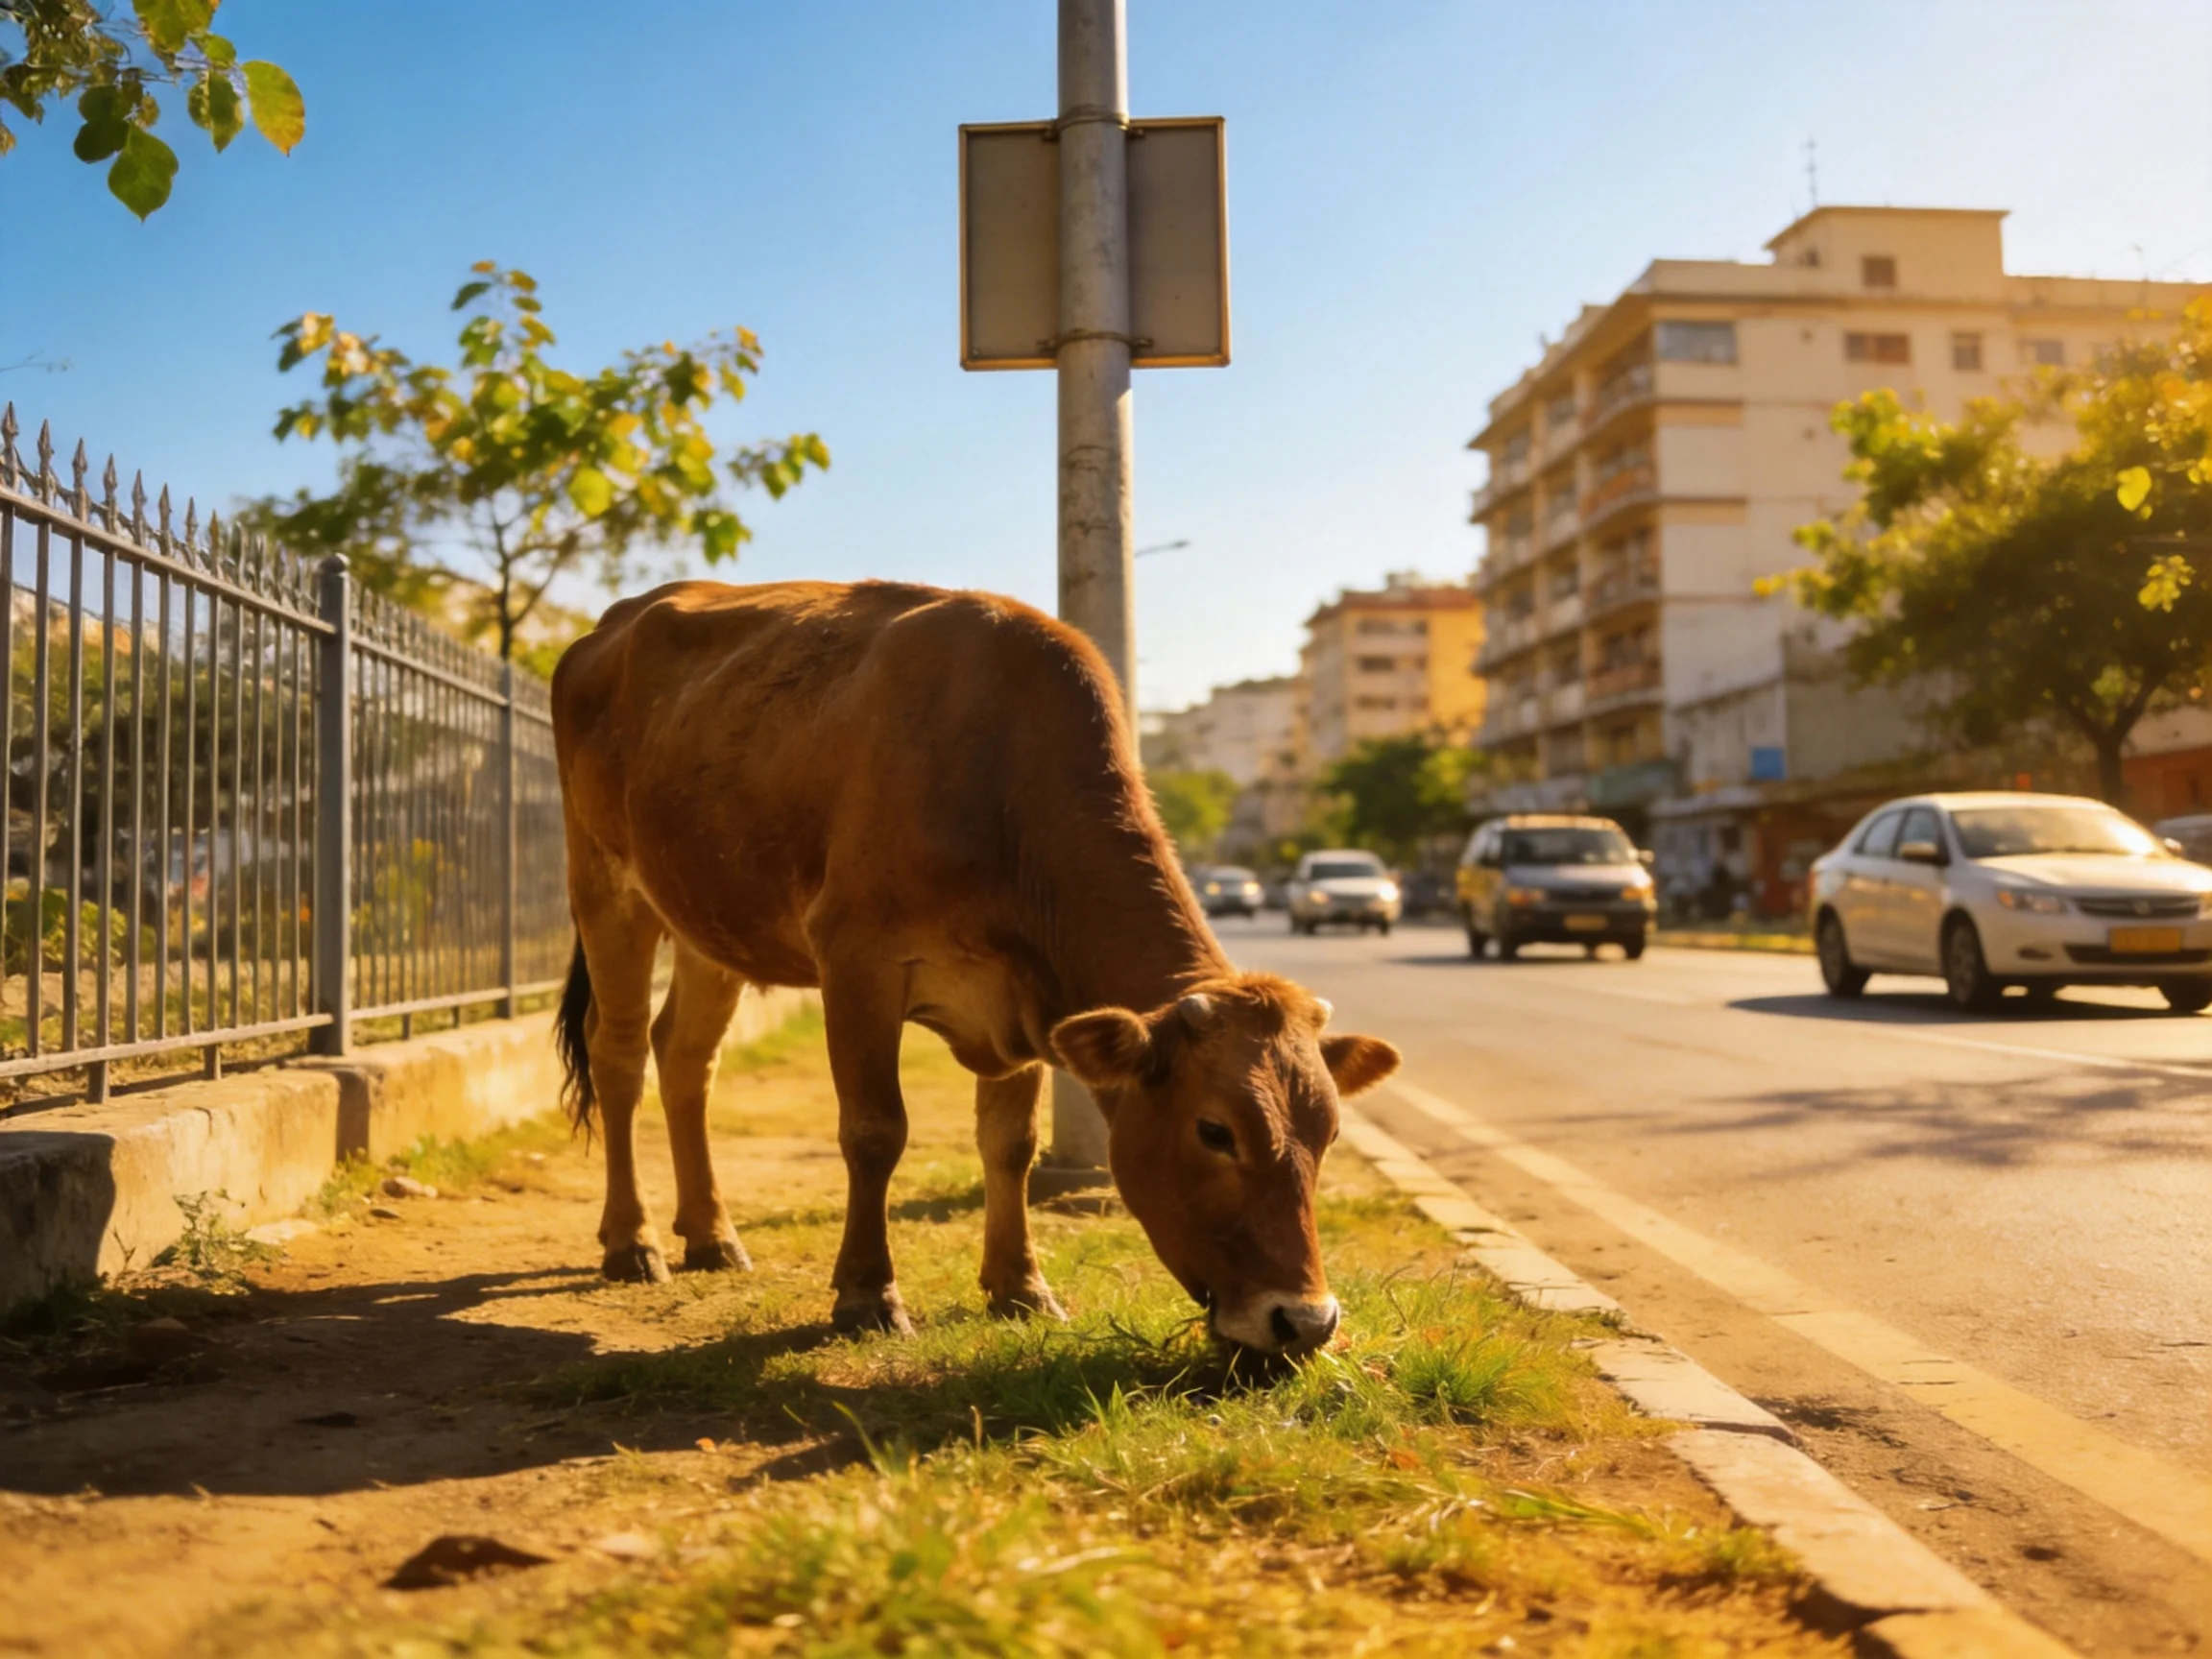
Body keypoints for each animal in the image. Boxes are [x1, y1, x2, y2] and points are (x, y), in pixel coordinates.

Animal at [549, 579, 1400, 1355]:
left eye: (1326, 1132)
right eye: (1214, 1130)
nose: (1305, 1321)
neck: (998, 781)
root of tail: (617, 620)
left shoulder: (1026, 1000)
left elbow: (1010, 1144)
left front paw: (1020, 1286)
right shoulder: (856, 958)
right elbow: (874, 1131)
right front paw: (867, 1295)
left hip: (707, 920)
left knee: (686, 1056)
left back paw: (710, 1233)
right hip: (605, 885)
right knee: (618, 1052)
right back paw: (633, 1241)